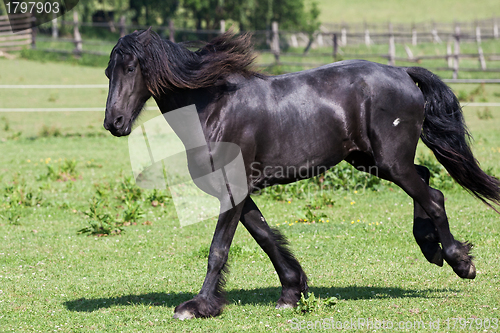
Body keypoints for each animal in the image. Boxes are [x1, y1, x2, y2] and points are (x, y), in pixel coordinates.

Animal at [102, 29, 500, 320]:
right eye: (108, 72)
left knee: (431, 196)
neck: (214, 107)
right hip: (371, 160)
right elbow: (265, 237)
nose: (114, 123)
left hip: (390, 162)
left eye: (132, 68)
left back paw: (460, 261)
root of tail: (402, 73)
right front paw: (292, 293)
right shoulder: (238, 192)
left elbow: (218, 248)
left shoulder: (232, 190)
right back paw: (431, 247)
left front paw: (197, 306)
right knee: (428, 182)